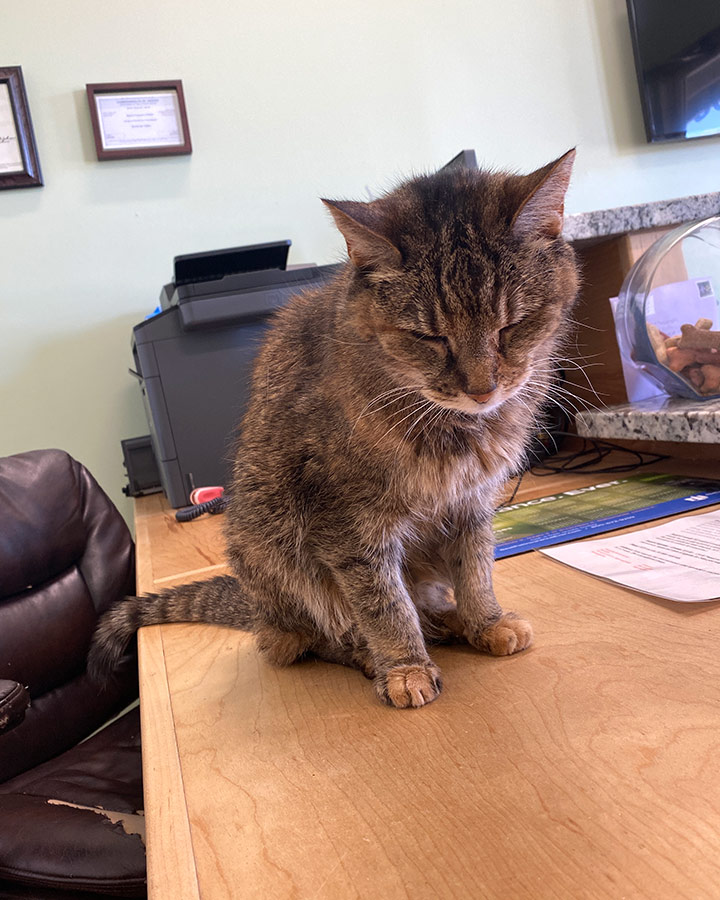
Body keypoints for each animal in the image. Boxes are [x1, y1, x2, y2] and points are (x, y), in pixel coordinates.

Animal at [90, 149, 580, 712]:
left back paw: (450, 621)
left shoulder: (472, 503)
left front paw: (484, 620)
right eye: (429, 338)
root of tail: (260, 612)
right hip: (274, 548)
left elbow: (475, 568)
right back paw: (370, 653)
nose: (483, 389)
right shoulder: (346, 524)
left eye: (512, 325)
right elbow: (383, 603)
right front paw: (404, 665)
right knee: (310, 638)